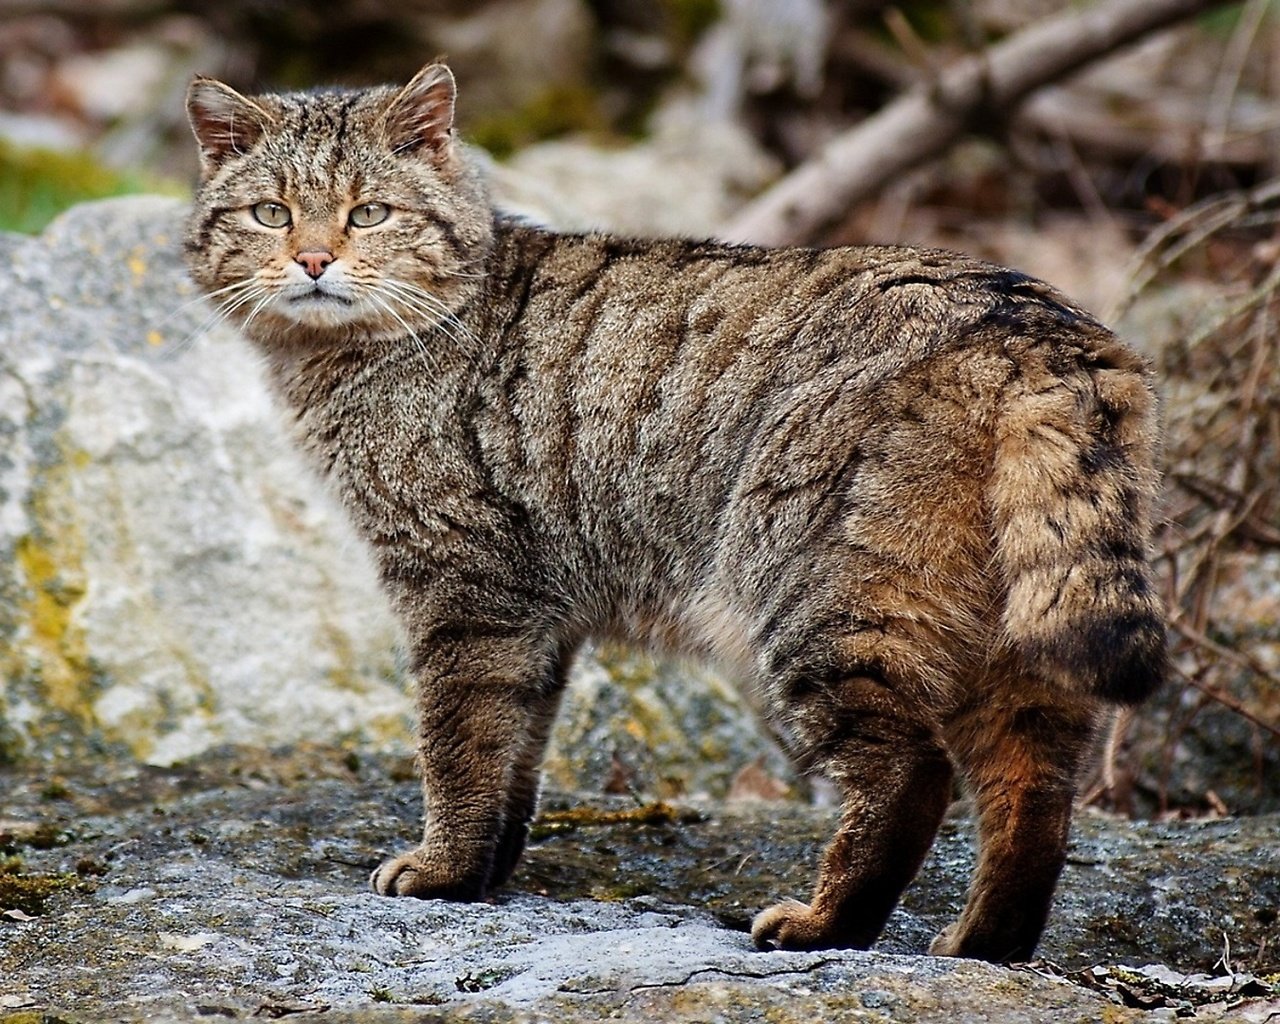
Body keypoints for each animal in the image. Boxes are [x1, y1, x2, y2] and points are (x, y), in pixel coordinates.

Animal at [183, 62, 1172, 962]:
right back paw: (982, 945)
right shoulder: (540, 613)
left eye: (369, 214)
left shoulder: (464, 589)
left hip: (816, 600)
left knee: (911, 774)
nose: (313, 260)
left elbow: (460, 740)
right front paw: (488, 871)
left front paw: (443, 870)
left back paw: (827, 924)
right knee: (1034, 794)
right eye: (271, 213)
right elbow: (517, 751)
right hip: (1013, 640)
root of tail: (1035, 328)